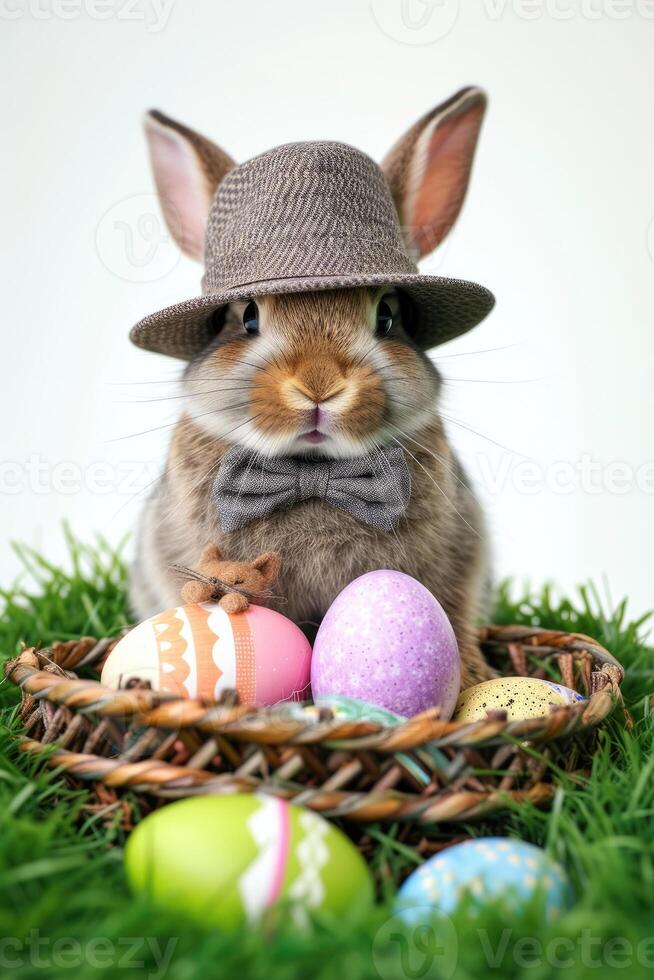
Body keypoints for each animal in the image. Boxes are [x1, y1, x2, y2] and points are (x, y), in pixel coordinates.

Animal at [131, 86, 494, 688]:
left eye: (388, 315)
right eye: (246, 317)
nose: (319, 385)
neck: (312, 470)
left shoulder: (458, 561)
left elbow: (454, 611)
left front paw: (472, 676)